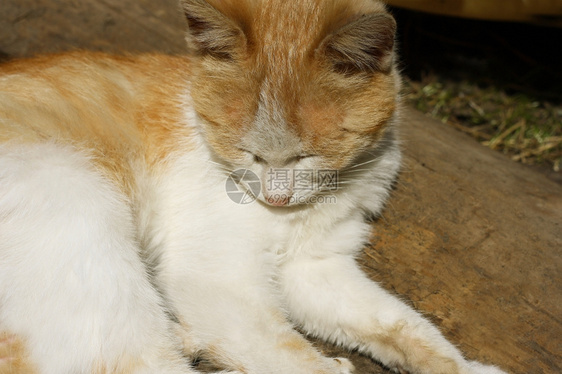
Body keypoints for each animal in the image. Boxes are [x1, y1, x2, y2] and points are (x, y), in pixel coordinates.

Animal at [0, 0, 506, 374]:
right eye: (249, 153)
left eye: (306, 156)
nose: (276, 196)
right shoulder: (217, 277)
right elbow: (289, 353)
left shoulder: (316, 266)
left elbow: (402, 324)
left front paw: (466, 368)